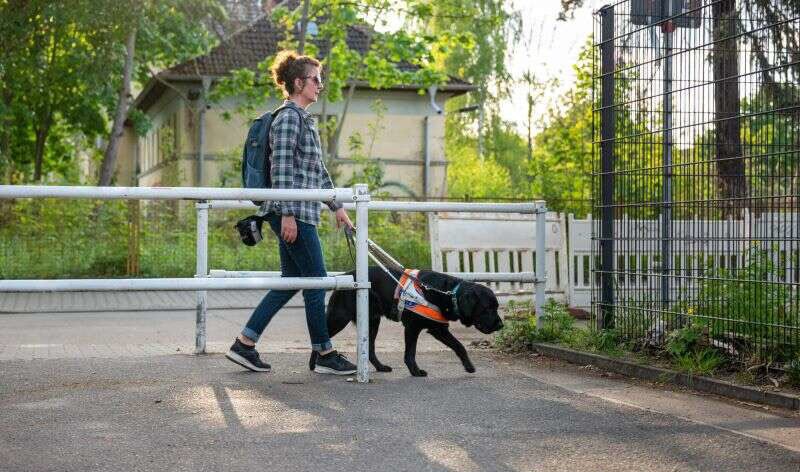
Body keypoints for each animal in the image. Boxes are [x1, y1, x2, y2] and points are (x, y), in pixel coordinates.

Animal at [310, 268, 504, 378]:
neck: (447, 293)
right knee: (320, 335)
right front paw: (415, 372)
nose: (501, 325)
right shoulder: (412, 327)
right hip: (340, 318)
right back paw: (315, 364)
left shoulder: (438, 328)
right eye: (487, 308)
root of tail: (344, 275)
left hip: (372, 322)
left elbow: (459, 346)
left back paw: (380, 367)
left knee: (369, 349)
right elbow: (410, 353)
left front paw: (469, 366)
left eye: (496, 307)